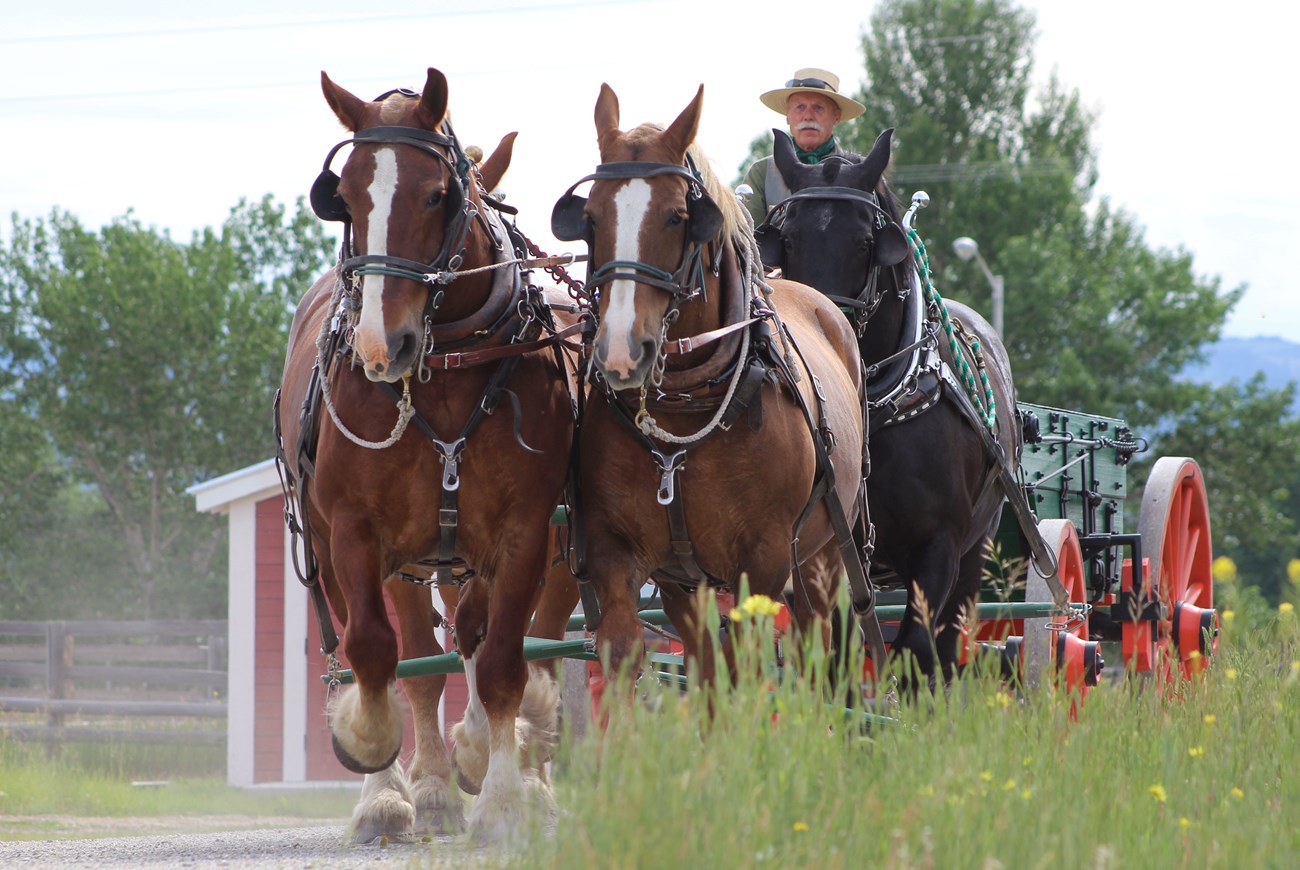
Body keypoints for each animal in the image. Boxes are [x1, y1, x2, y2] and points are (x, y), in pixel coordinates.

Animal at [275, 69, 574, 842]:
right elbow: (376, 652)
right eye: (344, 195)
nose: (383, 347)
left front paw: (500, 795)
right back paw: (422, 790)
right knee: (407, 654)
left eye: (437, 194)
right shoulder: (355, 530)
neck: (445, 368)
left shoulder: (525, 533)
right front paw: (376, 761)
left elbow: (502, 662)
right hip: (376, 553)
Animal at [548, 84, 883, 686]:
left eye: (678, 217)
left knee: (816, 648)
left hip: (822, 555)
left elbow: (750, 665)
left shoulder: (765, 558)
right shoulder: (633, 560)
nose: (621, 351)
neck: (685, 408)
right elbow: (635, 653)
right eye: (590, 218)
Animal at [754, 128, 1066, 686]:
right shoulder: (821, 553)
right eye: (786, 240)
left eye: (864, 243)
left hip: (977, 548)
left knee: (946, 646)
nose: (818, 322)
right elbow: (840, 659)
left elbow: (916, 653)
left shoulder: (938, 547)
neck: (875, 408)